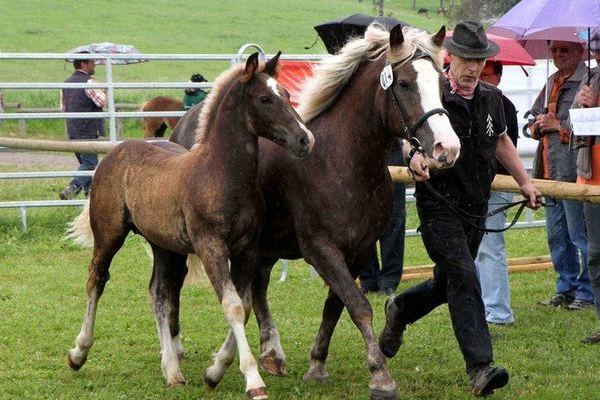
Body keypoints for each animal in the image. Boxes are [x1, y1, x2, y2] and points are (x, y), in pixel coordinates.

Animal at [67, 53, 314, 400]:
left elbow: (245, 306)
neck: (220, 174)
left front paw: (214, 372)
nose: (305, 139)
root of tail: (116, 151)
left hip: (164, 246)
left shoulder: (247, 251)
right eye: (264, 98)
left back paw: (172, 370)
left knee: (159, 292)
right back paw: (79, 353)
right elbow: (233, 307)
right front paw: (253, 380)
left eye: (287, 94)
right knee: (96, 280)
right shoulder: (211, 248)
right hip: (109, 235)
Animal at [171, 23, 462, 398]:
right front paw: (380, 375)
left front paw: (317, 364)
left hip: (263, 247)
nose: (447, 148)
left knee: (258, 290)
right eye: (404, 84)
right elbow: (359, 306)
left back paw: (271, 353)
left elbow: (335, 306)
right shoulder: (321, 249)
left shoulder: (357, 253)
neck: (342, 161)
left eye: (441, 85)